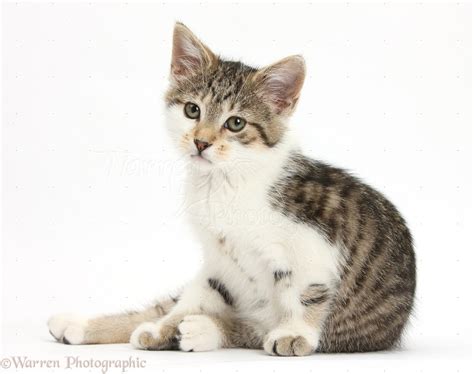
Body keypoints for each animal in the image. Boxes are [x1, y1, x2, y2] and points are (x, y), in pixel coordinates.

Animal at [49, 21, 414, 356]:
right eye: (192, 110)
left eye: (236, 123)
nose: (201, 142)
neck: (224, 181)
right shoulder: (218, 257)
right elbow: (196, 296)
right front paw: (163, 327)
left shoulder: (315, 244)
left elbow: (304, 294)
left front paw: (294, 333)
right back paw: (84, 325)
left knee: (255, 326)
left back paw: (205, 330)